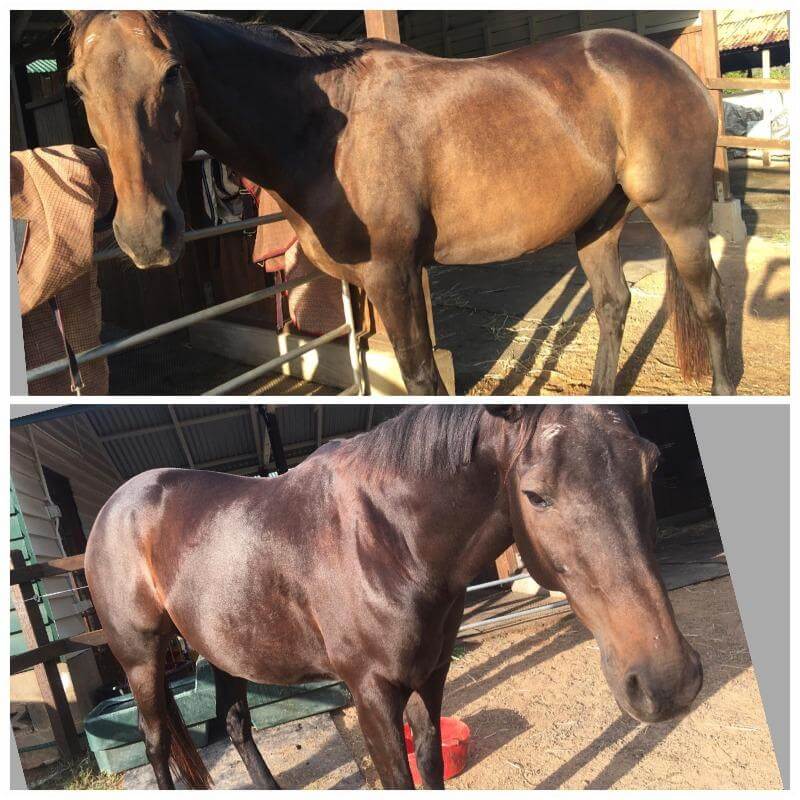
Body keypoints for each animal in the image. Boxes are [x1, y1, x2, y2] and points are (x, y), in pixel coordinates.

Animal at [65, 11, 734, 397]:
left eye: (171, 71)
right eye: (78, 85)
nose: (147, 235)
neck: (324, 129)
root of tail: (673, 63)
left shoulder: (393, 274)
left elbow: (421, 380)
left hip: (678, 218)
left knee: (711, 305)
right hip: (598, 219)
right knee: (613, 304)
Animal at [84, 404, 703, 789]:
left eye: (651, 466)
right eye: (536, 495)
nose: (667, 679)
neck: (388, 538)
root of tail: (115, 505)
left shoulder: (431, 676)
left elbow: (428, 765)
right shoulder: (372, 694)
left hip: (224, 646)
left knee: (236, 723)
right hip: (140, 659)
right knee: (156, 742)